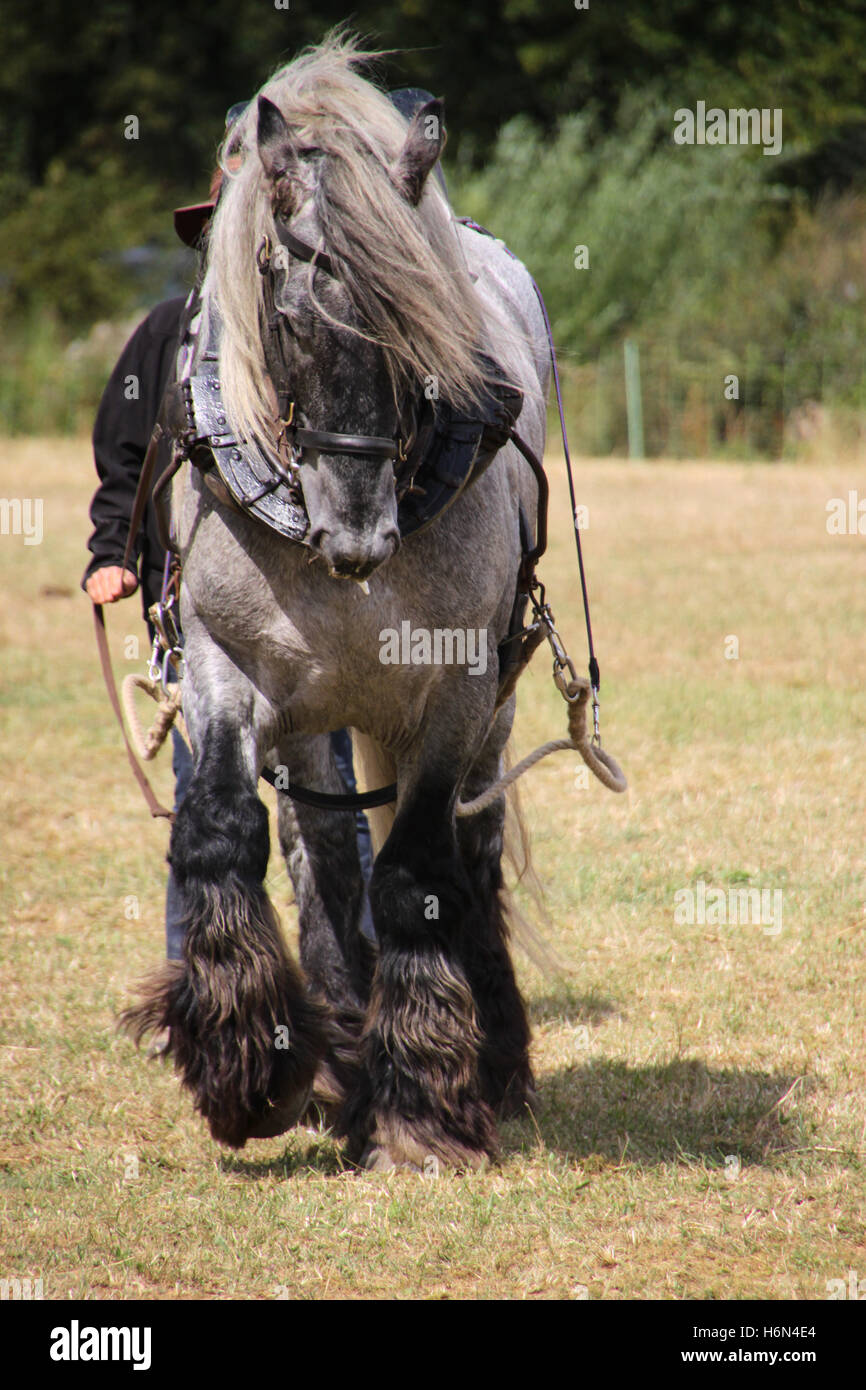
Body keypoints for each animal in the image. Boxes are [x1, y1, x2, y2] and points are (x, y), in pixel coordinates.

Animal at [123, 38, 547, 1167]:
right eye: (282, 308)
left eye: (418, 319)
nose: (355, 530)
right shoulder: (225, 665)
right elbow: (222, 831)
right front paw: (248, 1066)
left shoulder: (453, 691)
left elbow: (419, 873)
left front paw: (422, 1107)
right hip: (317, 715)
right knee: (322, 861)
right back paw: (339, 1051)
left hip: (480, 711)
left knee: (469, 857)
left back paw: (490, 1059)